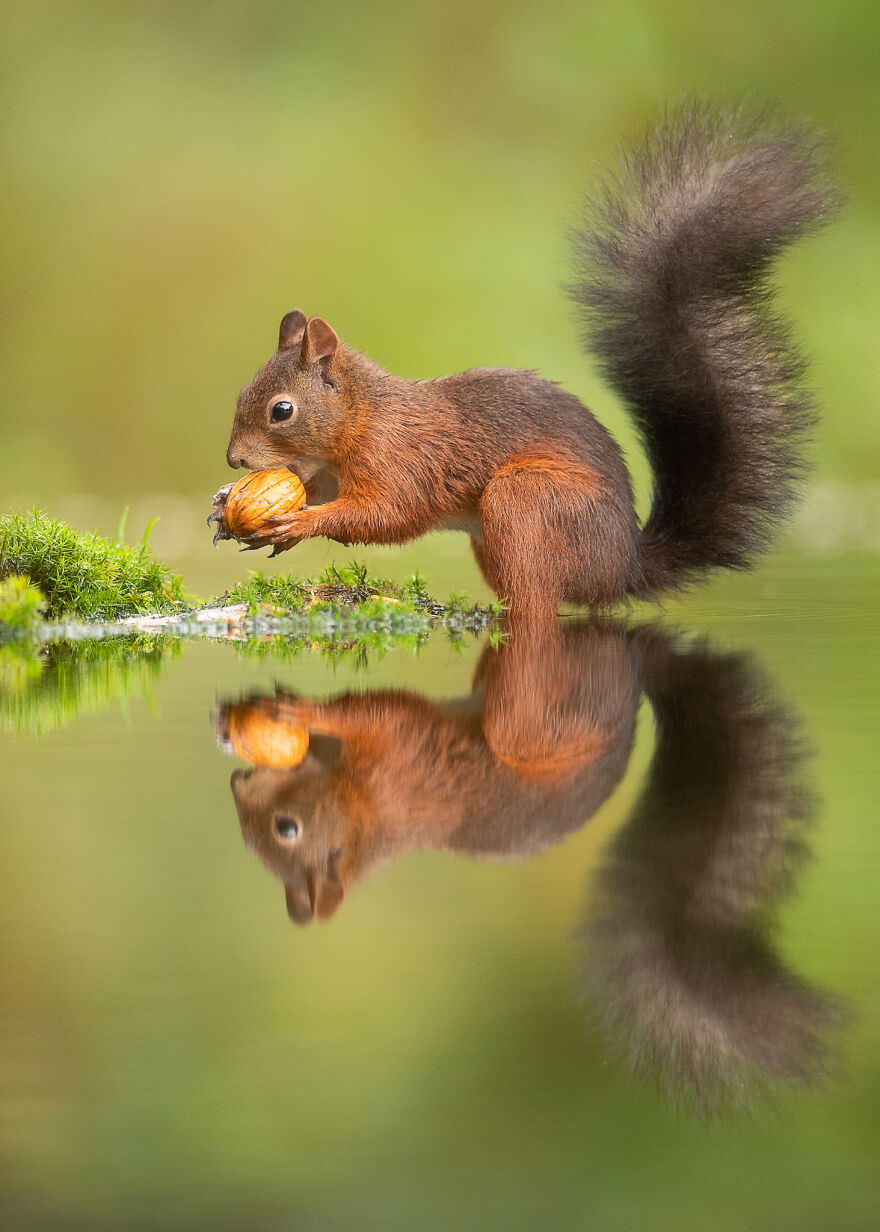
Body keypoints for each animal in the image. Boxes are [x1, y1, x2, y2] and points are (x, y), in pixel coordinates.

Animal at [216, 104, 837, 622]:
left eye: (281, 410)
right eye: (243, 393)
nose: (233, 460)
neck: (364, 418)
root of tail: (622, 569)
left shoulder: (403, 460)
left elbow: (387, 514)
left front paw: (301, 522)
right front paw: (227, 503)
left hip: (527, 504)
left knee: (540, 603)